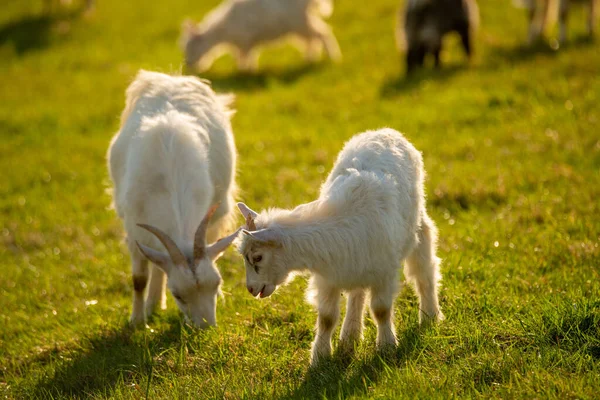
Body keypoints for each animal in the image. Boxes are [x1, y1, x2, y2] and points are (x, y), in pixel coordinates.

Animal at [108, 69, 239, 328]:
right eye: (177, 294)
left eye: (216, 283)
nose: (206, 327)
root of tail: (173, 78)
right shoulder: (134, 229)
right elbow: (139, 278)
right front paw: (137, 321)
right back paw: (151, 305)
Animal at [180, 0, 340, 72]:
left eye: (191, 47)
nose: (188, 65)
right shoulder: (246, 43)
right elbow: (247, 56)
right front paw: (249, 69)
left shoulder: (244, 41)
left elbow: (244, 57)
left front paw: (244, 71)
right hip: (301, 25)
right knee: (312, 40)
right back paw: (310, 58)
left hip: (301, 22)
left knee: (323, 33)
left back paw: (333, 57)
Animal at [237, 129, 442, 366]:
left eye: (258, 257)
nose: (251, 289)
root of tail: (385, 131)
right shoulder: (328, 276)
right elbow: (327, 318)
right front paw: (320, 357)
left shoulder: (384, 272)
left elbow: (381, 310)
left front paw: (387, 347)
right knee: (357, 293)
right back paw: (350, 337)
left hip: (417, 227)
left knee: (423, 269)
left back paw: (430, 316)